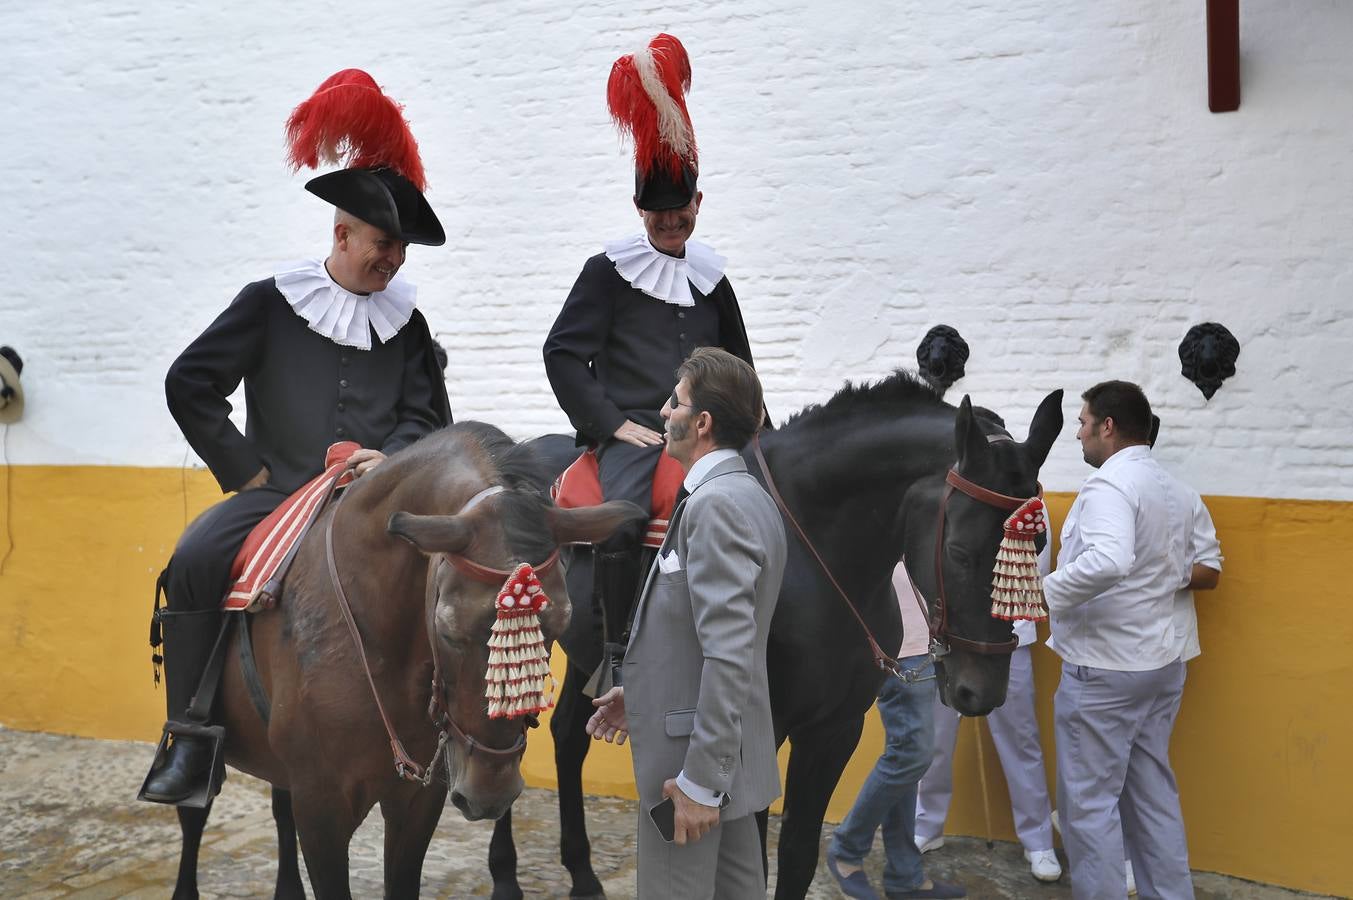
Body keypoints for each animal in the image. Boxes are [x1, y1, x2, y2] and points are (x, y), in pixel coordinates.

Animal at [169, 422, 644, 898]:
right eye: (447, 629)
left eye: (560, 624)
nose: (488, 791)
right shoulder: (321, 807)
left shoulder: (417, 801)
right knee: (194, 809)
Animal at [489, 370, 1066, 898]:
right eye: (961, 552)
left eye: (1038, 547)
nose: (980, 691)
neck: (814, 550)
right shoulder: (757, 733)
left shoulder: (835, 730)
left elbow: (797, 857)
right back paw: (506, 877)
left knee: (566, 735)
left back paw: (583, 875)